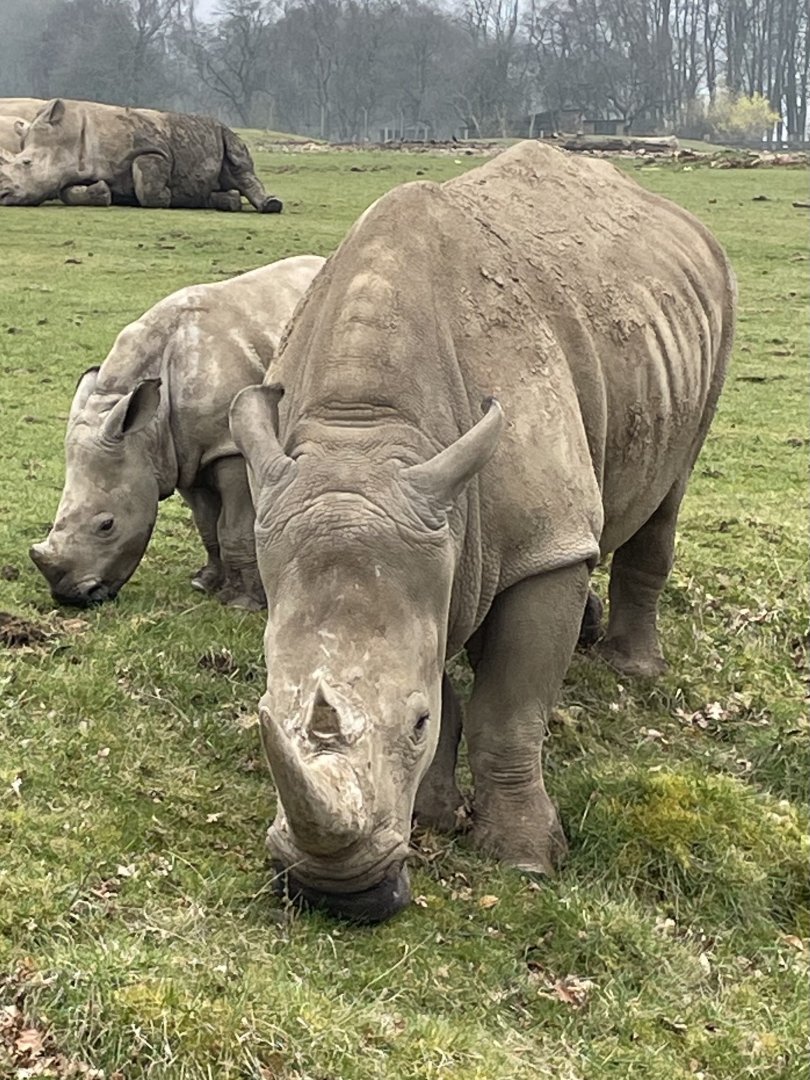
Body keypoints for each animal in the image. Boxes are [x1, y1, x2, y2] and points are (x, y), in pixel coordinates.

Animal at [0, 98, 282, 212]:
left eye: (26, 163)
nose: (2, 194)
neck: (67, 138)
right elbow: (67, 192)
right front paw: (104, 193)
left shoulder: (152, 150)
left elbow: (148, 186)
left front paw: (169, 197)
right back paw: (224, 200)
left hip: (224, 131)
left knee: (238, 164)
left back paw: (271, 205)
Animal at [30, 255, 325, 608]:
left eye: (107, 526)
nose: (70, 597)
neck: (145, 431)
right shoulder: (179, 455)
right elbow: (208, 526)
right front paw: (204, 583)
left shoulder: (228, 448)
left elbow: (233, 528)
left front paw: (242, 603)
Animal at [229, 140, 736, 923]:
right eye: (265, 711)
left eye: (411, 723)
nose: (334, 895)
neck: (365, 439)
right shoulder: (428, 522)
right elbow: (440, 661)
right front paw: (433, 817)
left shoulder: (536, 545)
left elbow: (510, 708)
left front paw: (525, 860)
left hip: (713, 319)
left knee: (667, 492)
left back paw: (632, 670)